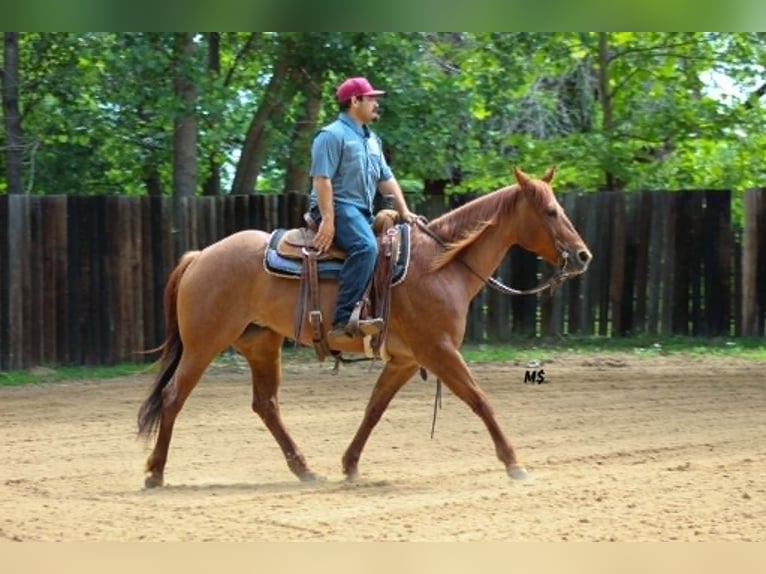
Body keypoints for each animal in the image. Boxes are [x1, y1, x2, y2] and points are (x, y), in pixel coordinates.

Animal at [137, 166, 592, 488]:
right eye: (550, 211)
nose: (583, 255)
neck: (438, 265)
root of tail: (199, 256)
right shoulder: (439, 351)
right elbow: (480, 400)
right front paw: (514, 463)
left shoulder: (406, 360)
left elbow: (375, 408)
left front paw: (350, 464)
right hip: (204, 344)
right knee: (174, 396)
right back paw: (155, 473)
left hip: (261, 346)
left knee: (265, 404)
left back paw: (305, 470)